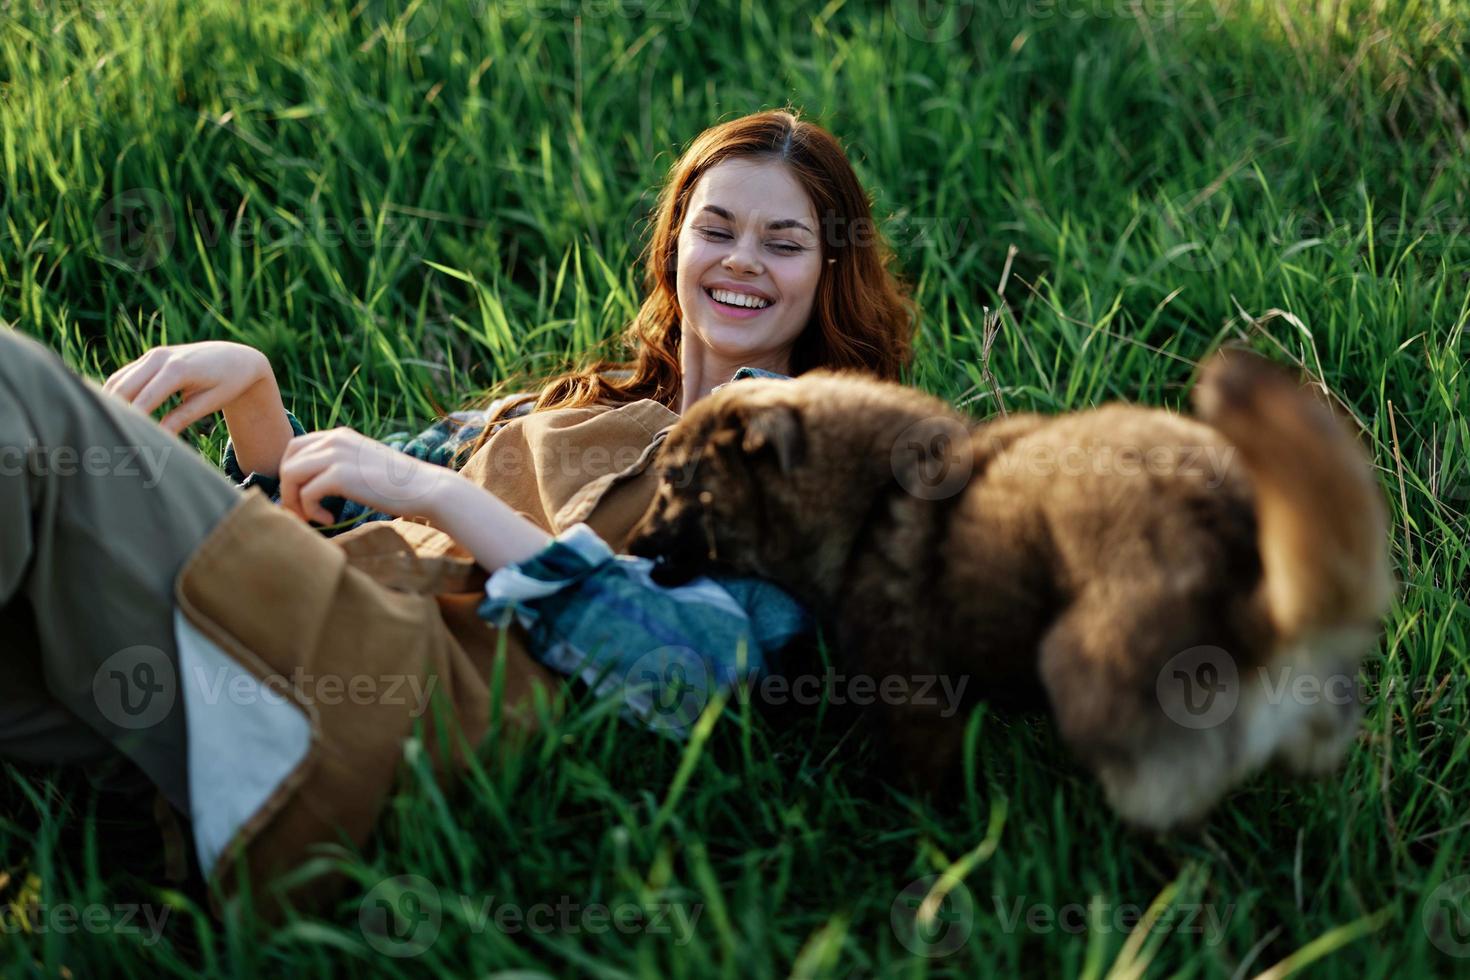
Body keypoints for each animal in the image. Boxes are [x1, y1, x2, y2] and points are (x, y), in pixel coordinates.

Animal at [629, 351, 1387, 828]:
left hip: (1083, 670)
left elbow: (917, 780)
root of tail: (1259, 592)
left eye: (674, 482)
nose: (630, 545)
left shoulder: (913, 699)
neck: (870, 501)